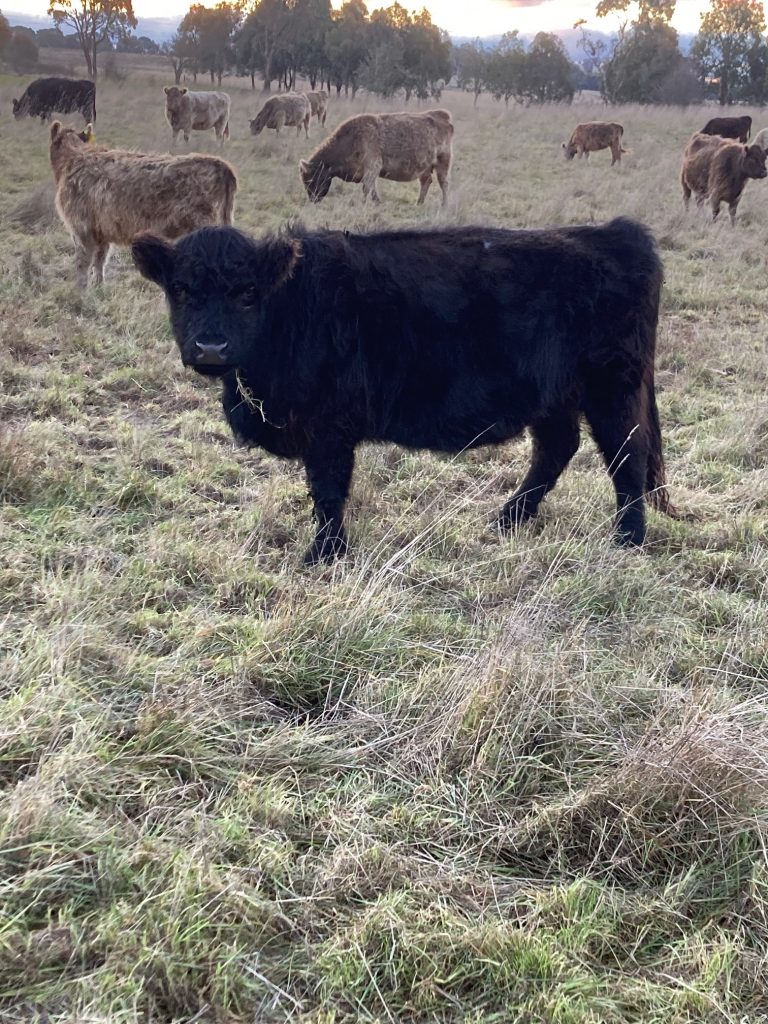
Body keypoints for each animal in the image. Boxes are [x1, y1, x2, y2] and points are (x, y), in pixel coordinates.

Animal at [50, 121, 237, 287]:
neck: (74, 156)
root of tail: (220, 164)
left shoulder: (81, 228)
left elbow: (83, 264)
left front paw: (79, 292)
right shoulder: (102, 231)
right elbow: (100, 261)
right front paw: (98, 287)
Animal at [132, 218, 674, 565]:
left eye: (247, 293)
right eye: (181, 290)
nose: (210, 346)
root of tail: (614, 233)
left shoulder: (329, 427)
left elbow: (327, 490)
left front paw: (323, 555)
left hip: (612, 386)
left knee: (626, 456)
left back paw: (627, 540)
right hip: (554, 394)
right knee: (557, 448)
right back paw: (507, 519)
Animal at [299, 110, 453, 205]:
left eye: (310, 179)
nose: (313, 199)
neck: (353, 138)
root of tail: (442, 115)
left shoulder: (372, 167)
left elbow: (367, 188)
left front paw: (363, 204)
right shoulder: (369, 172)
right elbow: (372, 188)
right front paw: (377, 202)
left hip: (442, 163)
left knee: (444, 184)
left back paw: (444, 205)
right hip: (425, 168)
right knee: (426, 182)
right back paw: (419, 203)